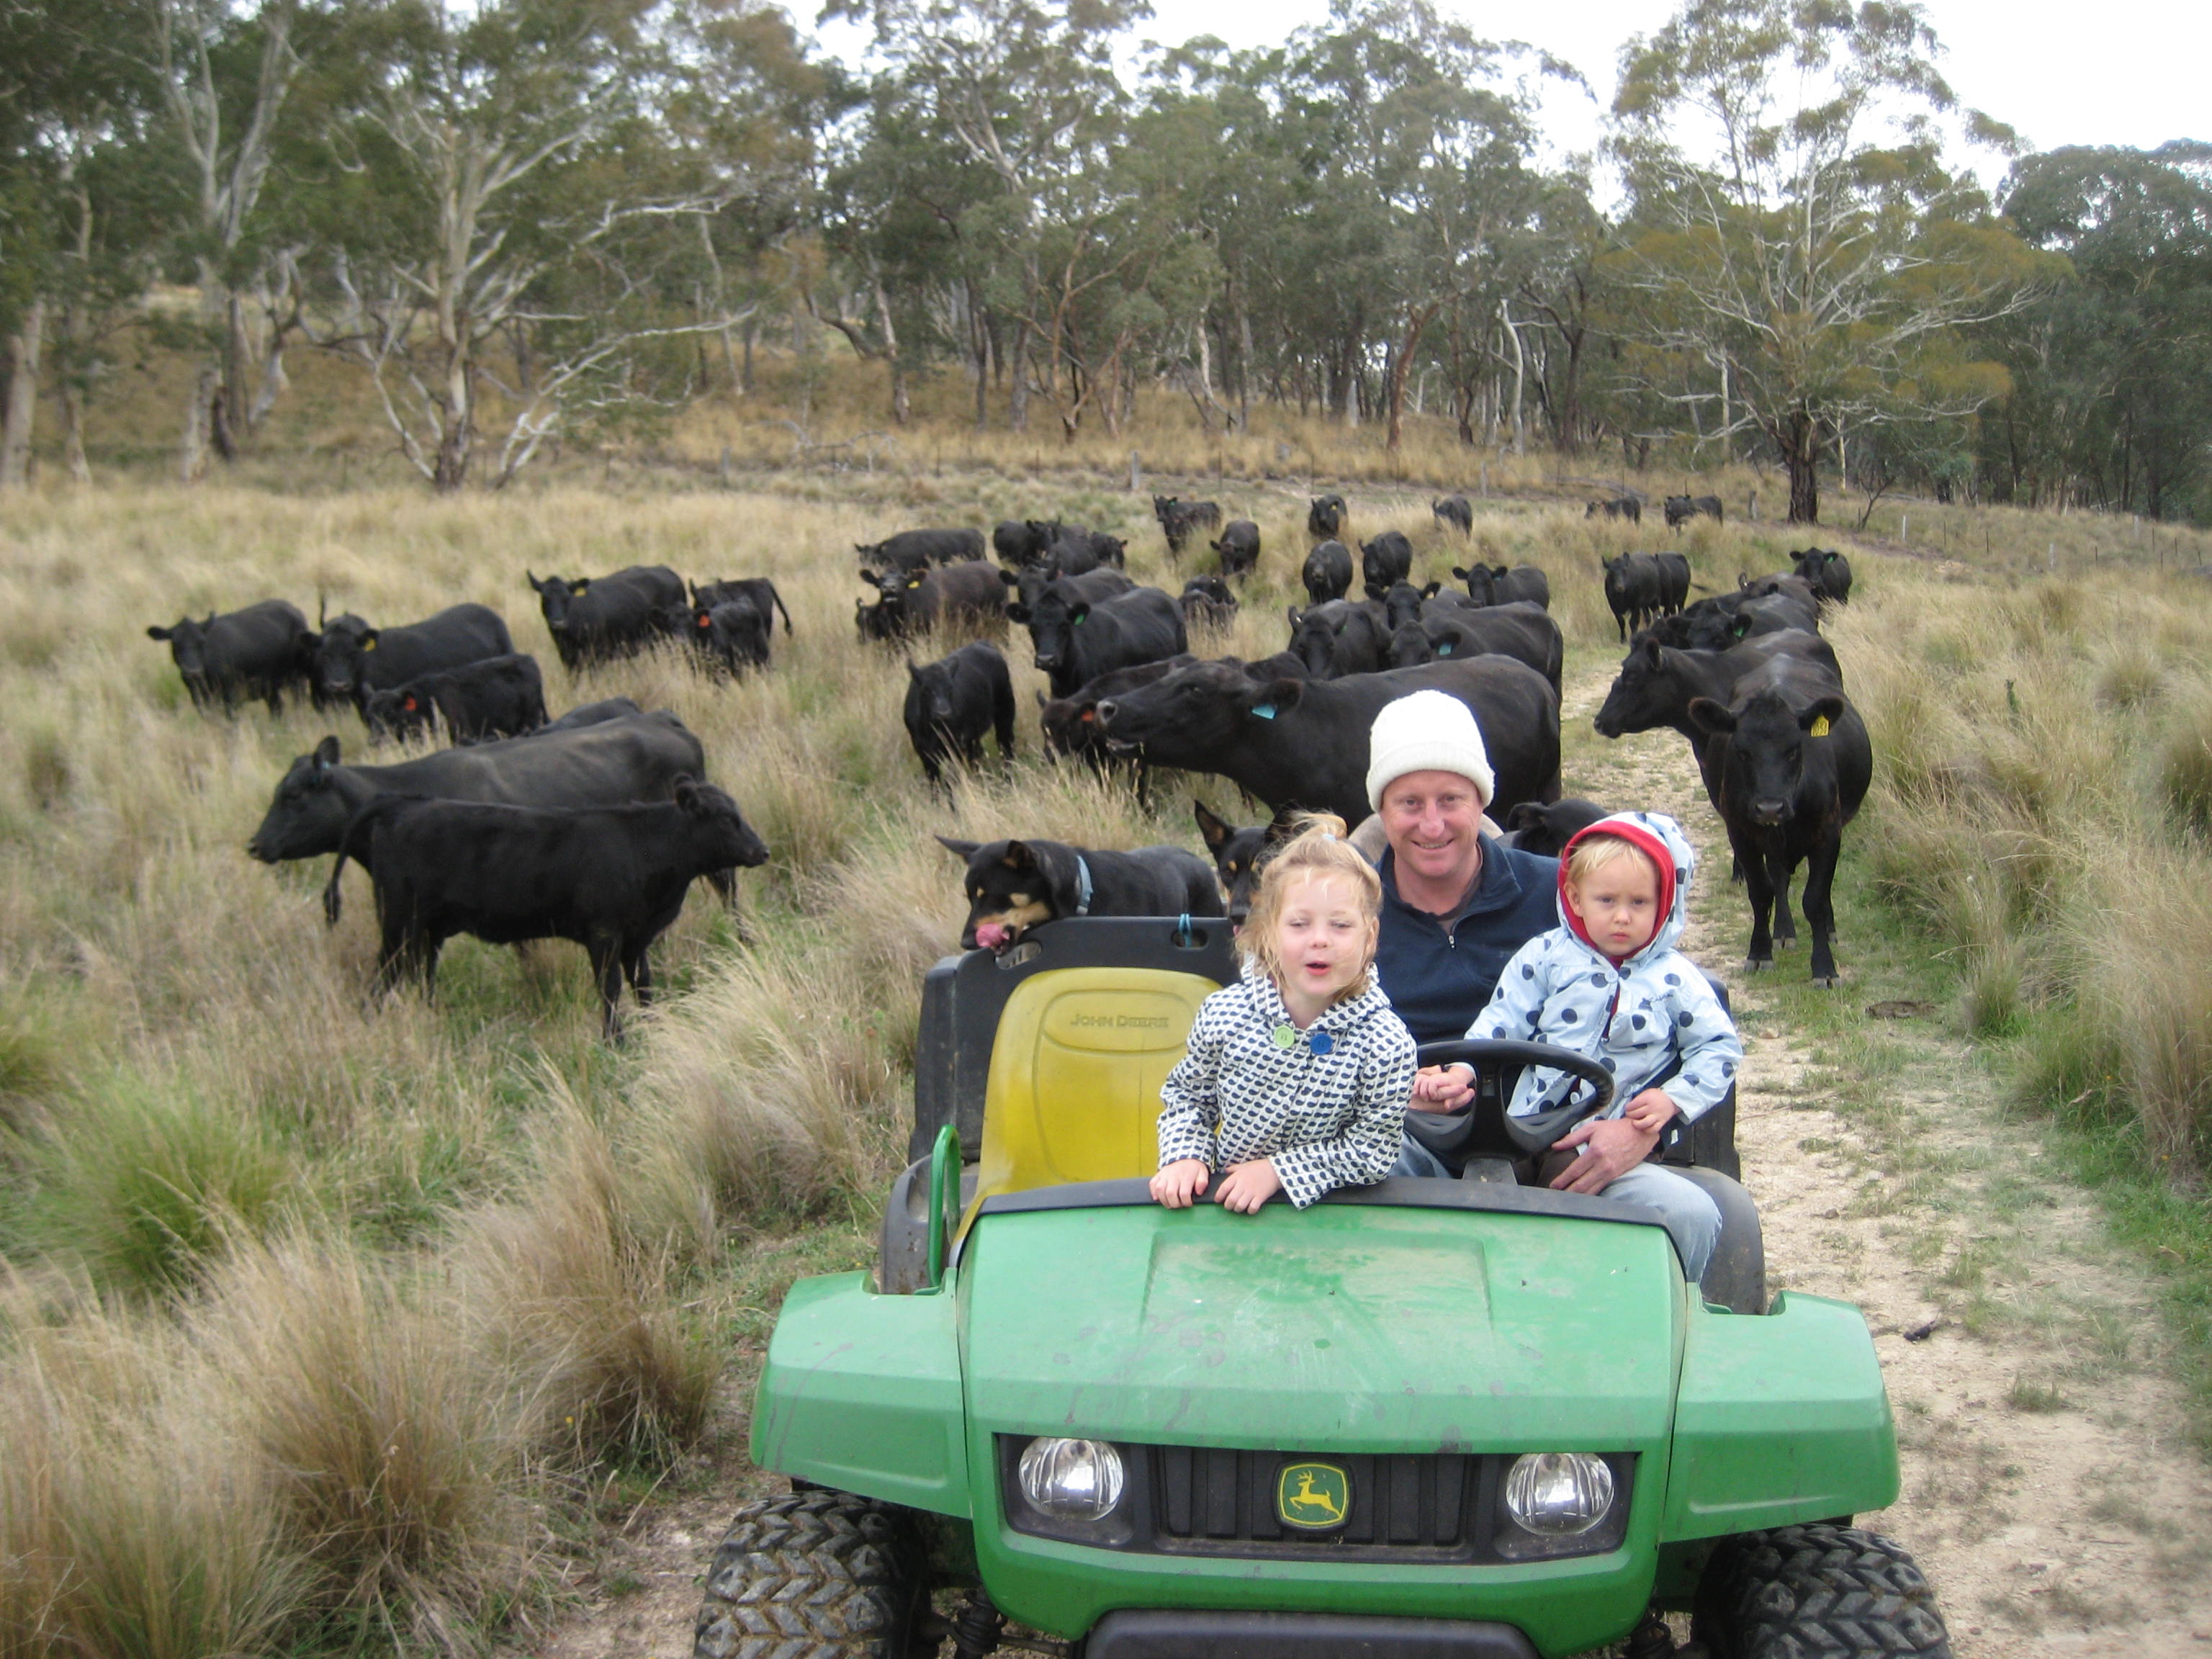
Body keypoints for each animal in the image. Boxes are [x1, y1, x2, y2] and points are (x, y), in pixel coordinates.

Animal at [146, 599, 310, 714]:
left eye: (201, 642)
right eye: (175, 644)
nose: (193, 671)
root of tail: (293, 609)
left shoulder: (231, 695)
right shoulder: (199, 698)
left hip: (297, 679)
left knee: (298, 704)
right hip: (271, 687)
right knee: (277, 708)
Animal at [326, 777, 768, 1040]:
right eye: (726, 819)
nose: (762, 851)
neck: (645, 847)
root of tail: (403, 804)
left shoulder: (636, 939)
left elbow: (643, 985)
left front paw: (655, 1028)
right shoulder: (604, 935)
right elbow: (610, 988)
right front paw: (615, 1041)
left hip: (427, 930)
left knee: (421, 976)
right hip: (399, 923)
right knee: (383, 978)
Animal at [528, 567, 682, 671]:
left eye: (567, 597)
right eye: (545, 598)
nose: (558, 622)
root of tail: (666, 570)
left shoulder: (596, 656)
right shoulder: (568, 659)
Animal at [904, 642, 1016, 788]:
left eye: (950, 688)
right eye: (926, 689)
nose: (943, 713)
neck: (932, 729)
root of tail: (983, 644)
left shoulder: (954, 748)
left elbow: (951, 780)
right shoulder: (925, 753)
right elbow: (935, 783)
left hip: (1006, 712)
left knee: (1005, 744)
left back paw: (1009, 778)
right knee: (976, 755)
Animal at [1688, 659, 1872, 985]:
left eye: (1795, 749)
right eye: (1742, 752)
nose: (1770, 808)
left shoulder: (1828, 831)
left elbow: (1815, 898)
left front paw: (1824, 968)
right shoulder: (1741, 834)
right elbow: (1762, 891)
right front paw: (1760, 953)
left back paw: (1827, 930)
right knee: (1779, 878)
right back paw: (1783, 933)